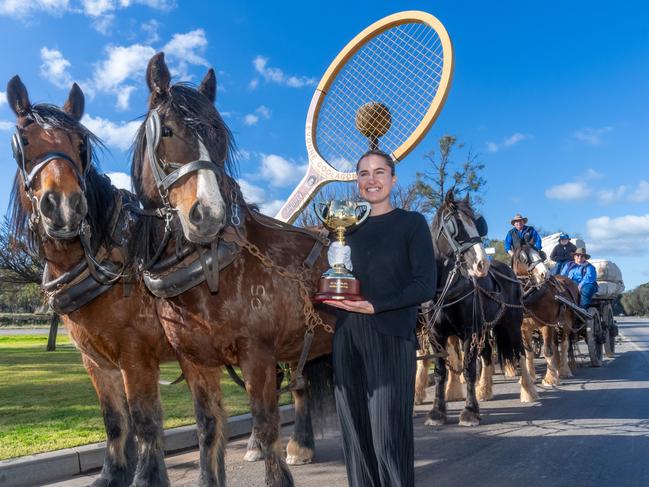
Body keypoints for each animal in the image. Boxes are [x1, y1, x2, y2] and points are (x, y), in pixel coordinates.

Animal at [6, 77, 173, 487]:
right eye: (23, 141)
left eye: (81, 144)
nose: (64, 205)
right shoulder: (96, 361)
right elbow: (114, 420)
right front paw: (113, 474)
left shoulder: (136, 356)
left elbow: (145, 419)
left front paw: (148, 477)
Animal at [130, 51, 336, 486]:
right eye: (167, 131)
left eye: (219, 135)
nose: (208, 214)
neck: (211, 272)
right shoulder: (195, 361)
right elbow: (209, 430)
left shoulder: (257, 353)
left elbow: (267, 423)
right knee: (302, 386)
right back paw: (302, 445)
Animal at [508, 248, 580, 392]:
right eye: (523, 258)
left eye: (540, 253)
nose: (544, 274)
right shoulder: (524, 329)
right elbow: (529, 353)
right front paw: (531, 377)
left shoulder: (545, 325)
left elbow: (547, 351)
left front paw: (550, 380)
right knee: (555, 344)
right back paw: (556, 367)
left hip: (566, 323)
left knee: (564, 344)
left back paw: (563, 370)